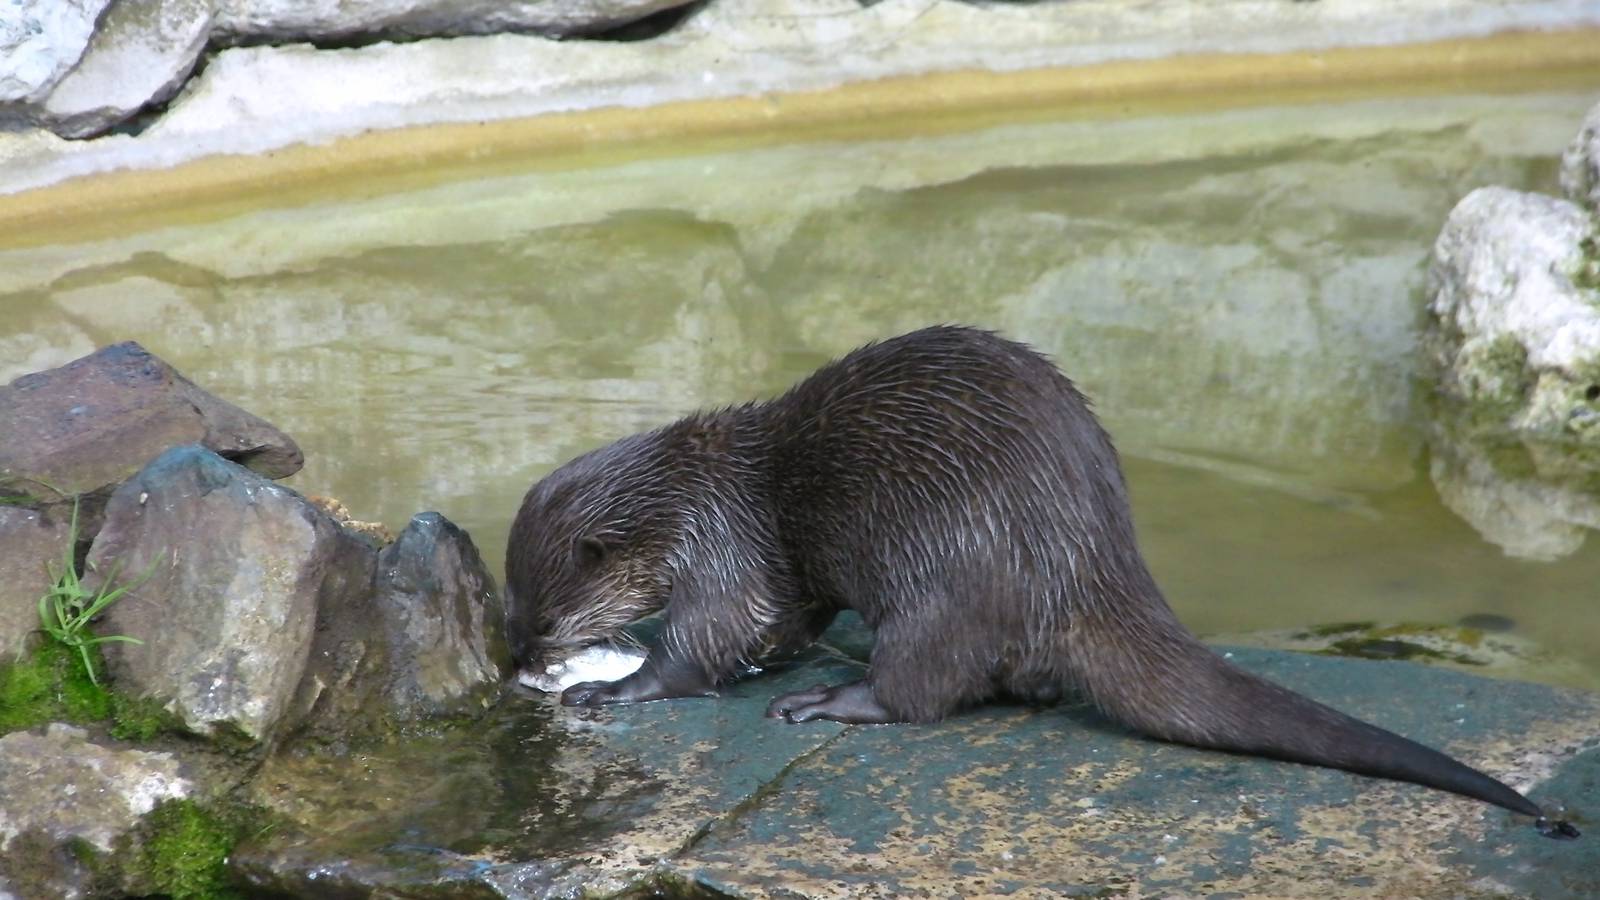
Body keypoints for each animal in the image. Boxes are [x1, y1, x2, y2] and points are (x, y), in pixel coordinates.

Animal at [505, 325, 1577, 838]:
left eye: (543, 614)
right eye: (515, 613)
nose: (519, 653)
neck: (691, 492)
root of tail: (1087, 560)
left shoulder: (719, 540)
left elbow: (716, 634)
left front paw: (617, 687)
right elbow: (780, 616)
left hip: (941, 572)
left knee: (927, 686)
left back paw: (832, 700)